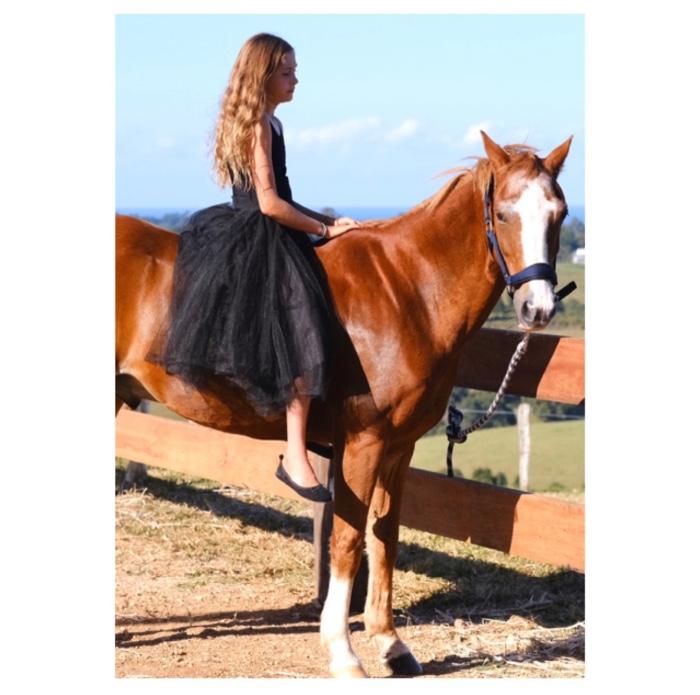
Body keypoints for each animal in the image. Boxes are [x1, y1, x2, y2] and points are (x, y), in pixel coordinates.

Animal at [116, 131, 572, 677]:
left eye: (560, 213)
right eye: (503, 214)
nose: (537, 309)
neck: (407, 290)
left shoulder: (398, 447)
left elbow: (384, 535)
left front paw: (391, 644)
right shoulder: (362, 442)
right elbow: (349, 541)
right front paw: (343, 651)